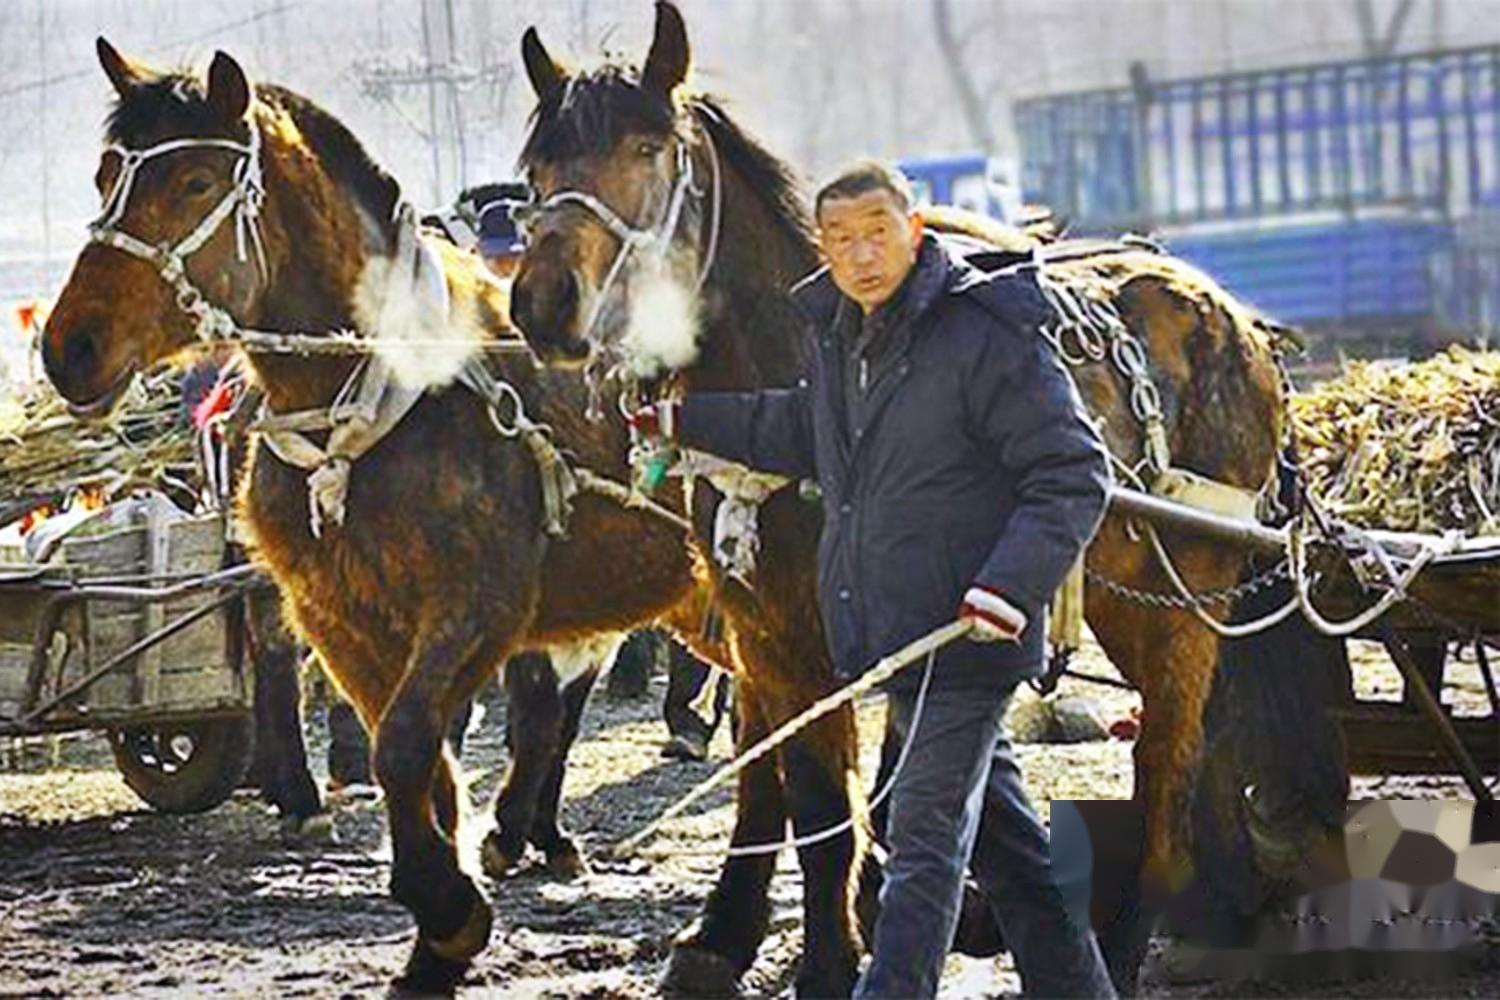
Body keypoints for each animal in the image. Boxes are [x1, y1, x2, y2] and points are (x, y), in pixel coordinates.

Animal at [39, 39, 855, 996]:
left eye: (198, 181)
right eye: (107, 176)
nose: (70, 346)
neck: (386, 396)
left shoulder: (480, 607)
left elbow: (411, 744)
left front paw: (454, 903)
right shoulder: (341, 620)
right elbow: (415, 751)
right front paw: (444, 921)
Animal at [508, 2, 1345, 991]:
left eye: (645, 148)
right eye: (538, 170)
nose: (542, 304)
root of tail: (1237, 318)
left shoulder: (825, 639)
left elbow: (831, 805)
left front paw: (829, 958)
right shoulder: (768, 632)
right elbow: (794, 791)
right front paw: (760, 936)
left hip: (1182, 598)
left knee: (1168, 770)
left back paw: (1124, 937)